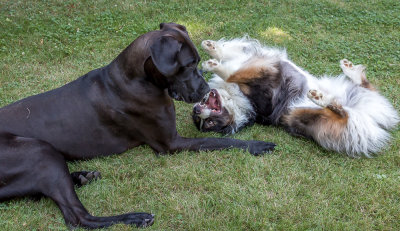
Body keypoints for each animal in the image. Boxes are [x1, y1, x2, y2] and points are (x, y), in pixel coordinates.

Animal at [0, 22, 276, 228]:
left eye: (198, 61)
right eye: (188, 65)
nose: (206, 89)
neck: (136, 79)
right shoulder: (170, 143)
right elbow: (218, 140)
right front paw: (256, 145)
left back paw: (82, 176)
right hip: (40, 151)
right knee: (78, 218)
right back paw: (134, 217)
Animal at [192, 37, 398, 157]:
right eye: (208, 123)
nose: (197, 109)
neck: (239, 101)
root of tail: (370, 117)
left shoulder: (253, 61)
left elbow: (229, 60)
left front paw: (212, 49)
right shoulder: (264, 80)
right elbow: (232, 74)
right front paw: (213, 64)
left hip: (352, 91)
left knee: (365, 86)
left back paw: (349, 70)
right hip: (300, 114)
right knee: (341, 113)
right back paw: (320, 98)